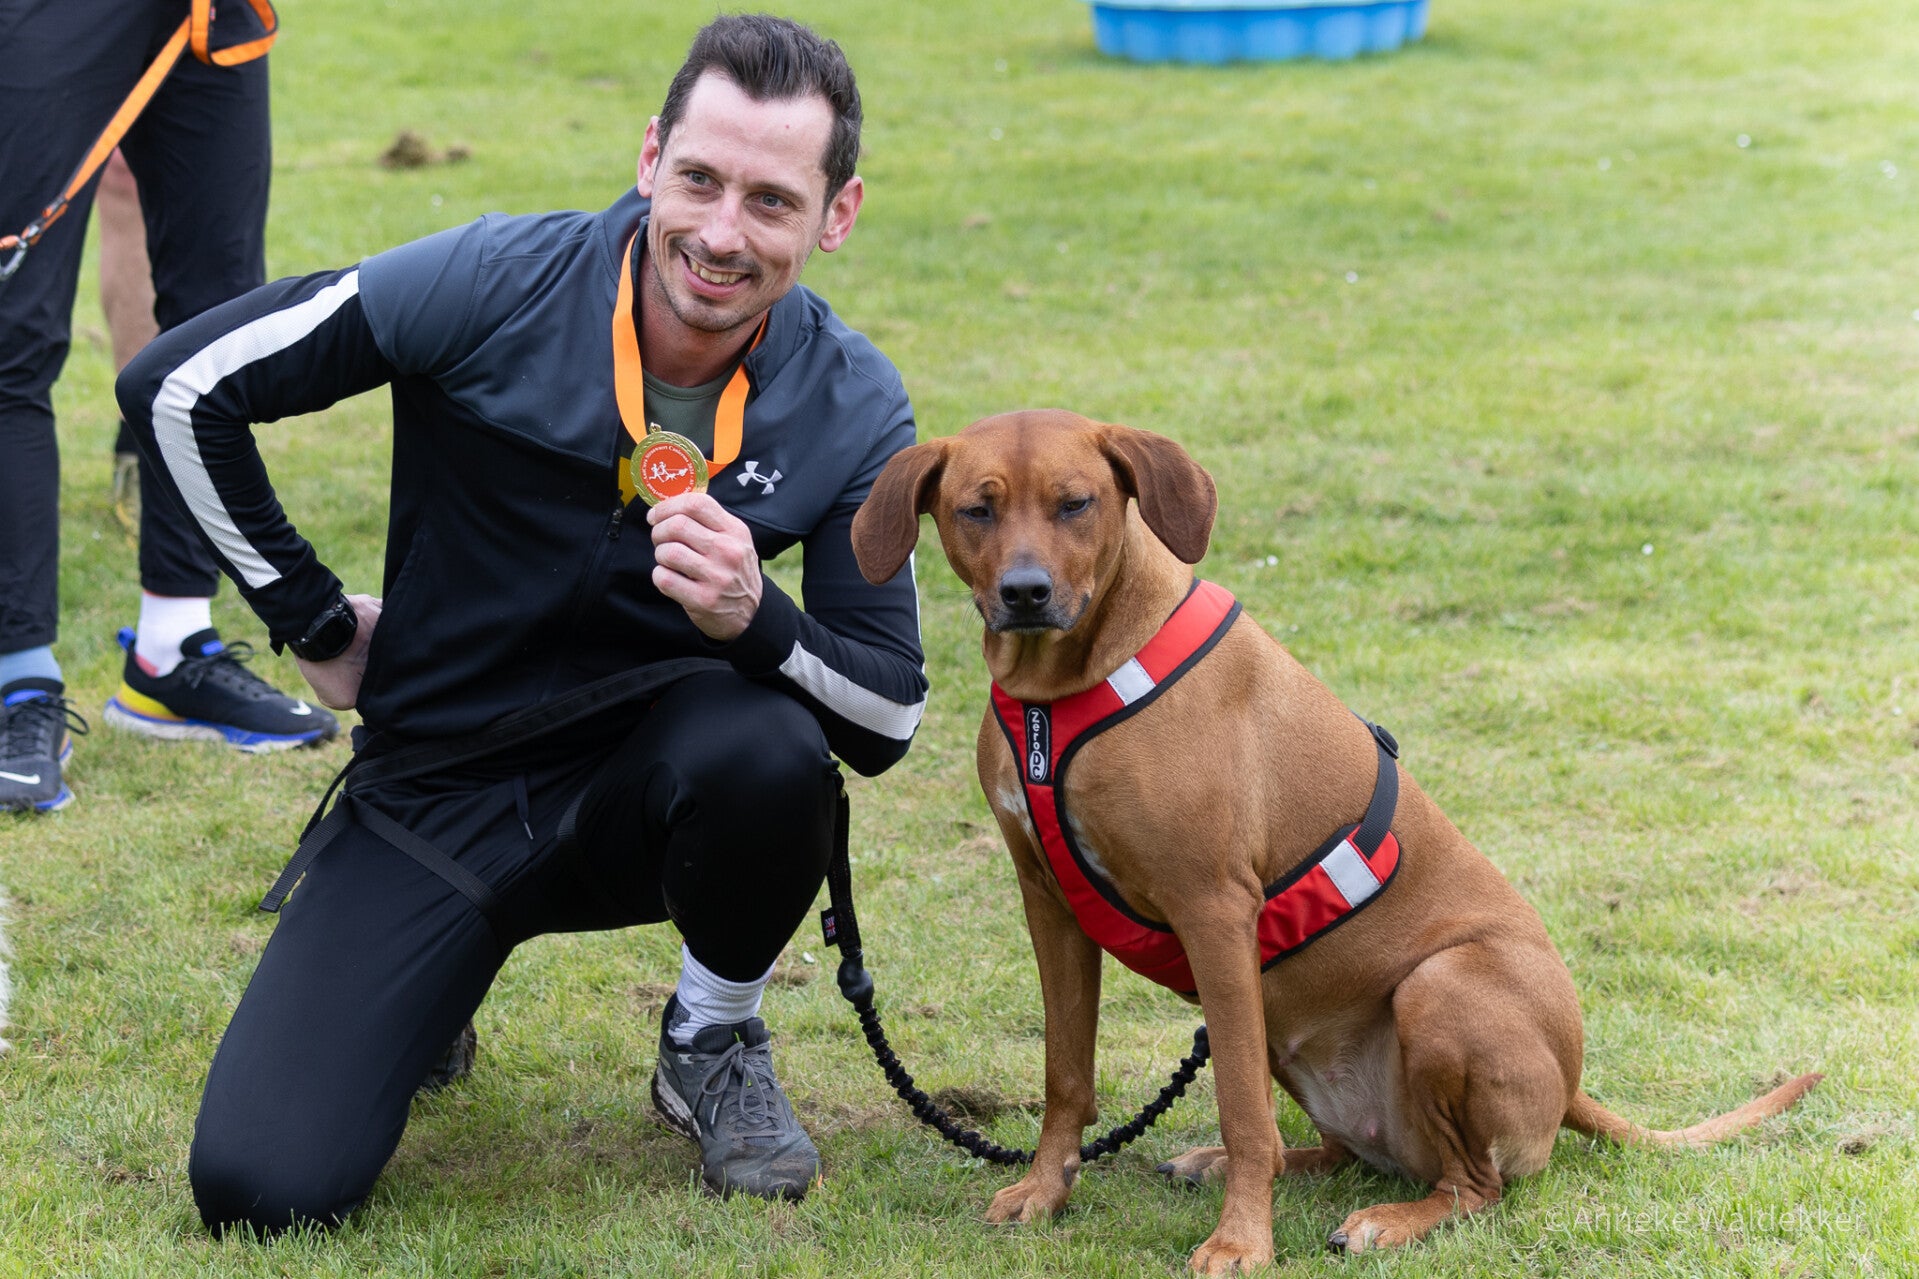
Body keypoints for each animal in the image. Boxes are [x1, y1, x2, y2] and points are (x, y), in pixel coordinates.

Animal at [849, 409, 1820, 1271]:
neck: (1062, 692)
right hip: (1288, 1025)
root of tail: (1570, 1081)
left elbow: (1240, 1107)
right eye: (976, 509)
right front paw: (1047, 1191)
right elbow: (1066, 1073)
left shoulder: (1214, 911)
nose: (1025, 593)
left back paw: (1388, 1219)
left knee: (1470, 1186)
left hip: (1436, 987)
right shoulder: (1048, 902)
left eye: (1075, 502)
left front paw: (1241, 1242)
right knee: (1337, 1151)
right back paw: (1235, 1165)